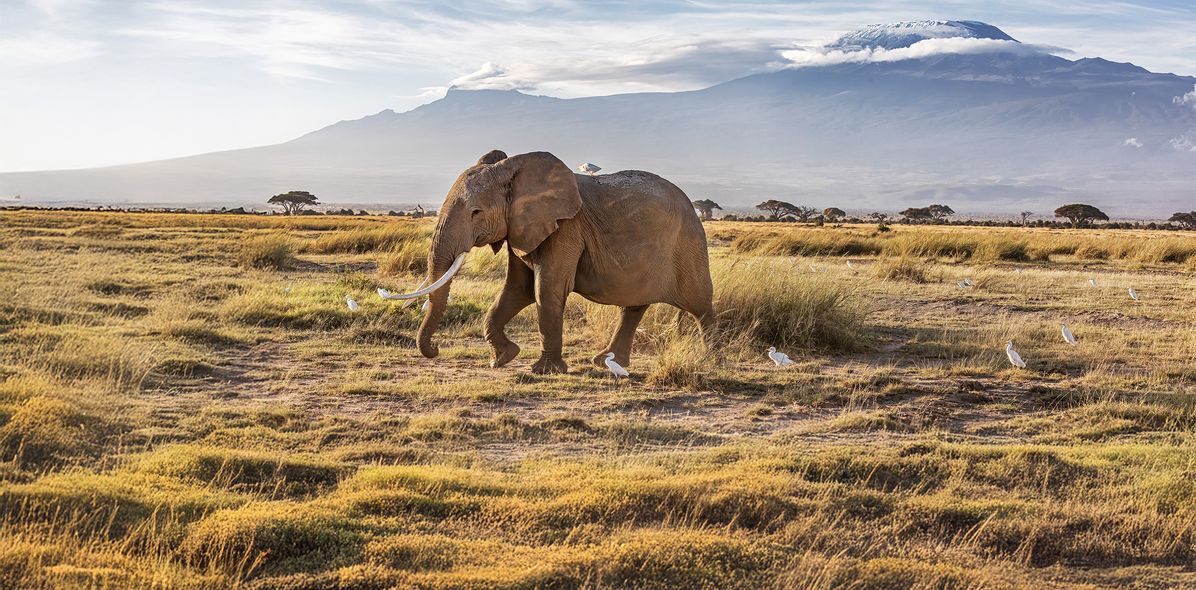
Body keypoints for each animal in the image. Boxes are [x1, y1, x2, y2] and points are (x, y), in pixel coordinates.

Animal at [387, 149, 712, 375]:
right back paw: (604, 361)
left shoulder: (566, 229)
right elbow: (517, 290)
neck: (514, 171)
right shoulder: (521, 229)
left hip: (688, 245)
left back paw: (711, 358)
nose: (436, 349)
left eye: (476, 212)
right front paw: (503, 358)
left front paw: (544, 371)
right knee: (633, 307)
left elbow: (546, 289)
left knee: (700, 305)